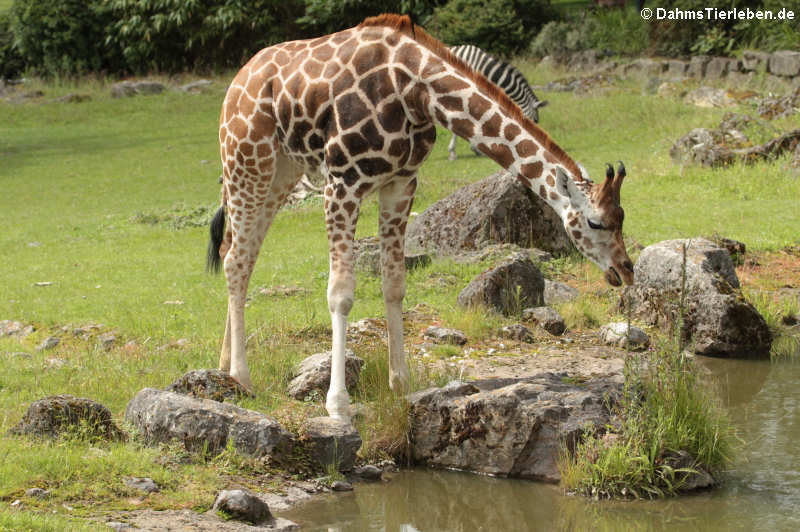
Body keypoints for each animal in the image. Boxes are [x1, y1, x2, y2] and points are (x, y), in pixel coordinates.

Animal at [208, 13, 636, 424]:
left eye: (622, 216)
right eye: (595, 222)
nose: (625, 270)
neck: (416, 91)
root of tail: (235, 83)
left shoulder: (400, 183)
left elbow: (394, 285)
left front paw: (400, 383)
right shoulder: (343, 182)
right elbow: (341, 294)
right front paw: (338, 404)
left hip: (281, 172)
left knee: (240, 255)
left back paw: (224, 368)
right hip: (247, 160)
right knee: (235, 260)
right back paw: (242, 377)